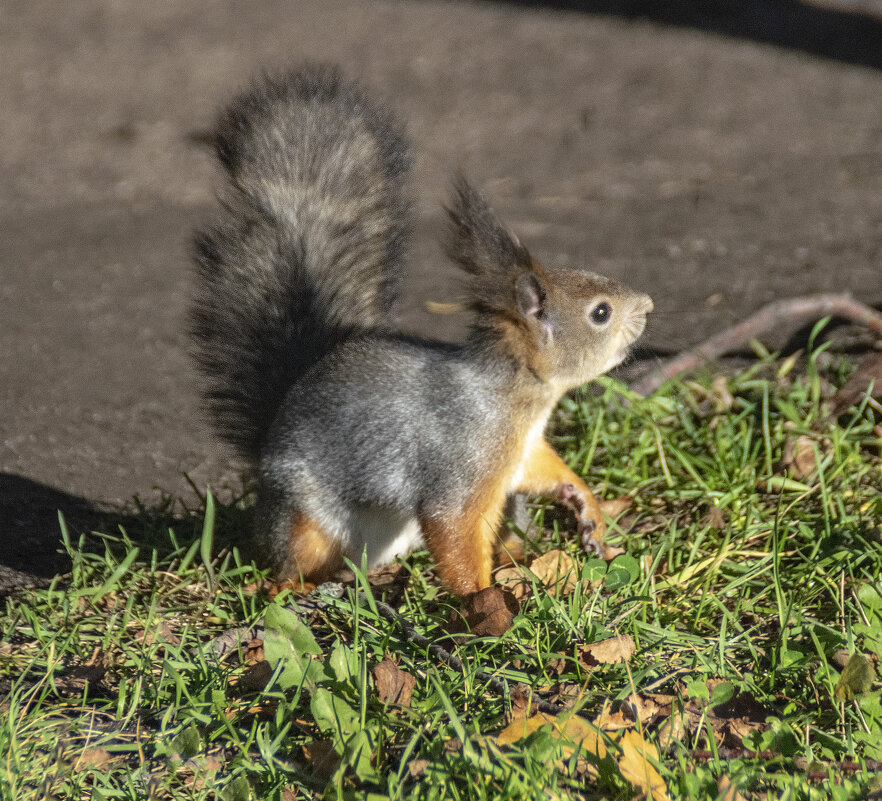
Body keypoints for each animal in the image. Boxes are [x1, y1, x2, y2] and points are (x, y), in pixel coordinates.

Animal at [191, 67, 648, 592]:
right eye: (600, 313)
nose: (648, 306)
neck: (516, 396)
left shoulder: (522, 452)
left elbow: (544, 472)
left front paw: (583, 500)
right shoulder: (461, 457)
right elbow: (453, 529)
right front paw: (484, 599)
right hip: (306, 521)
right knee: (289, 559)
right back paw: (292, 586)